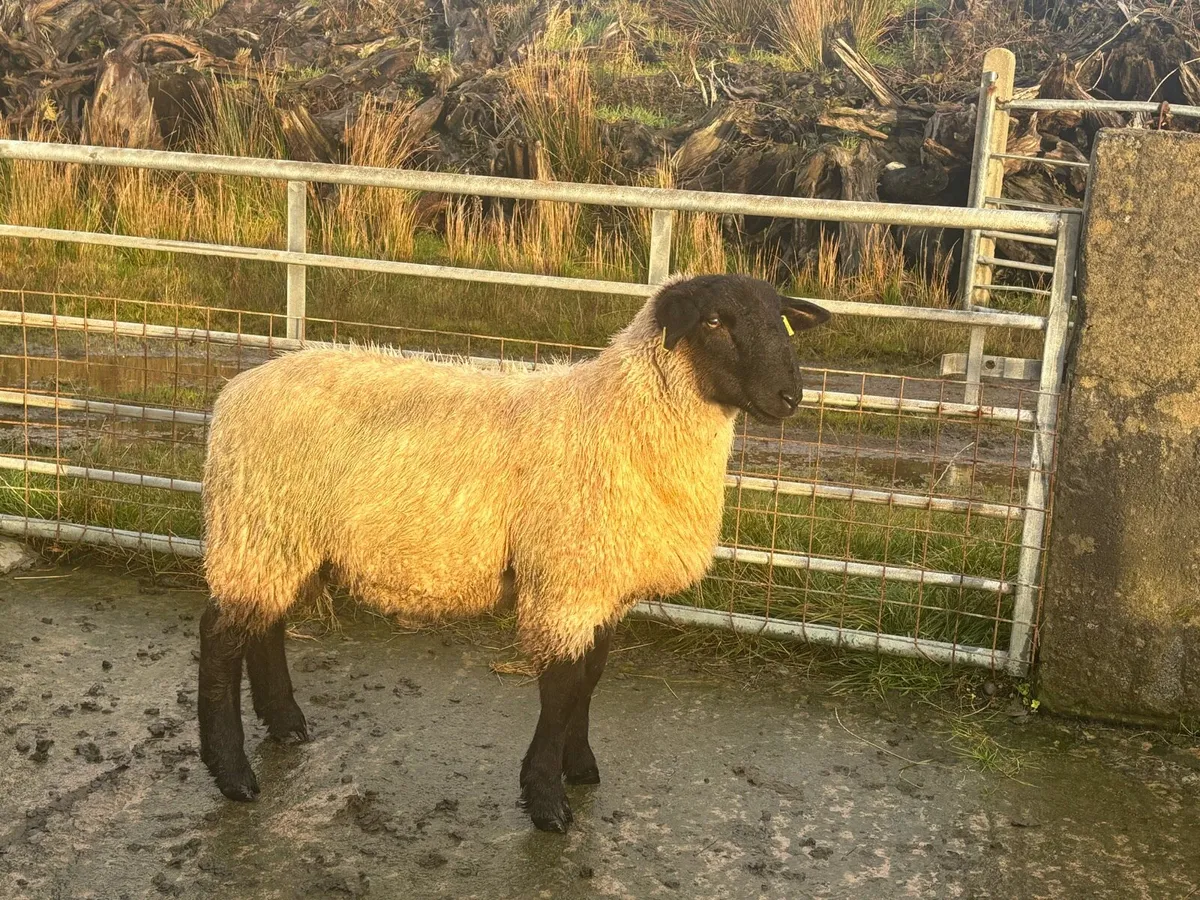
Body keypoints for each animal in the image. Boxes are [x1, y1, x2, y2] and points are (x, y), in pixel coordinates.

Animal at [197, 273, 830, 832]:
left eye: (783, 323)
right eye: (715, 321)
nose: (790, 396)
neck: (620, 416)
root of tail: (235, 392)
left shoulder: (598, 585)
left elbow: (591, 677)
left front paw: (580, 767)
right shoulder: (565, 578)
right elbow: (563, 686)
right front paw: (547, 801)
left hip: (280, 536)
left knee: (265, 624)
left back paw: (286, 725)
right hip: (258, 521)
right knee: (221, 636)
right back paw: (232, 773)